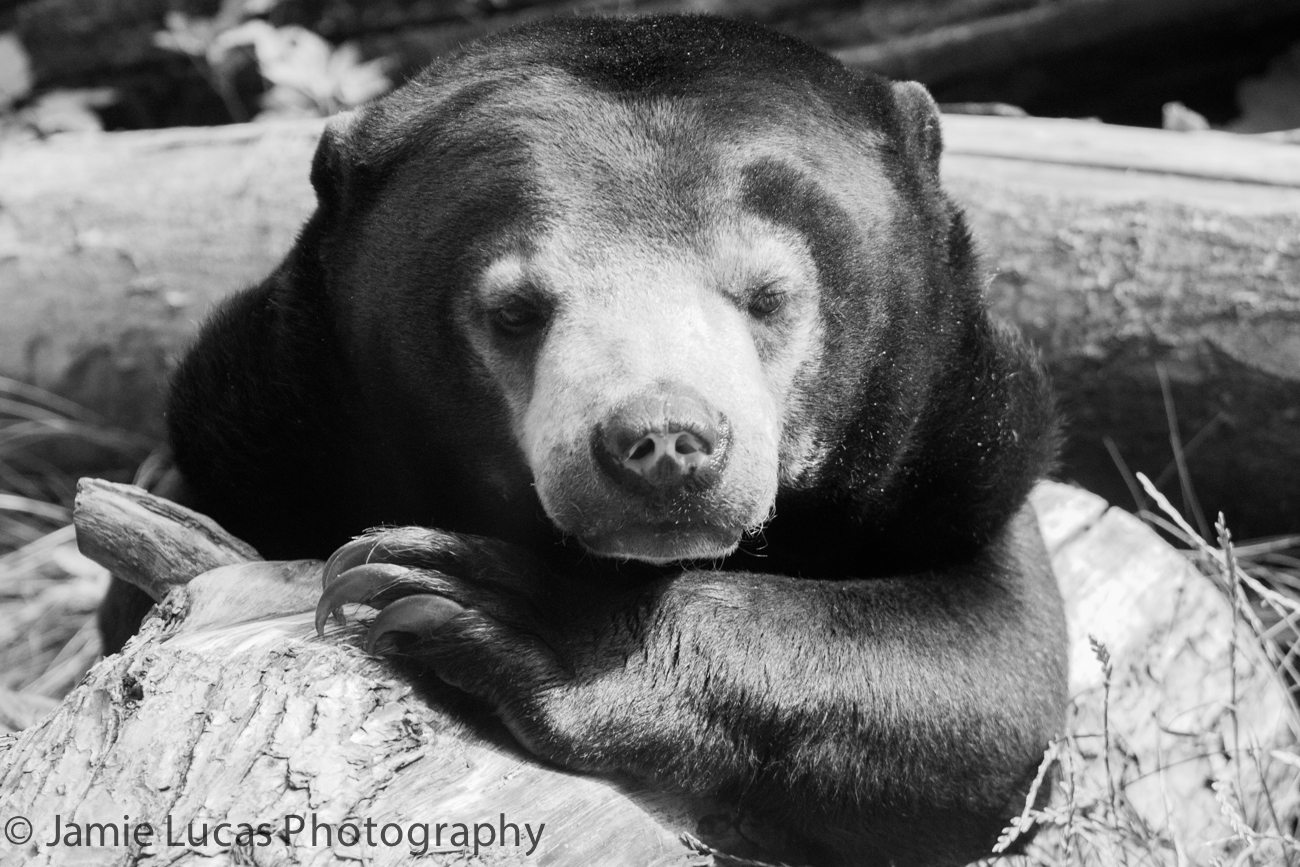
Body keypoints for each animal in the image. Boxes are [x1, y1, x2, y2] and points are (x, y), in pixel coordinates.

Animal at [100, 14, 1067, 867]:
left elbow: (995, 685)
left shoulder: (963, 445)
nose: (665, 442)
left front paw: (482, 601)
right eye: (514, 311)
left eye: (769, 296)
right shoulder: (265, 431)